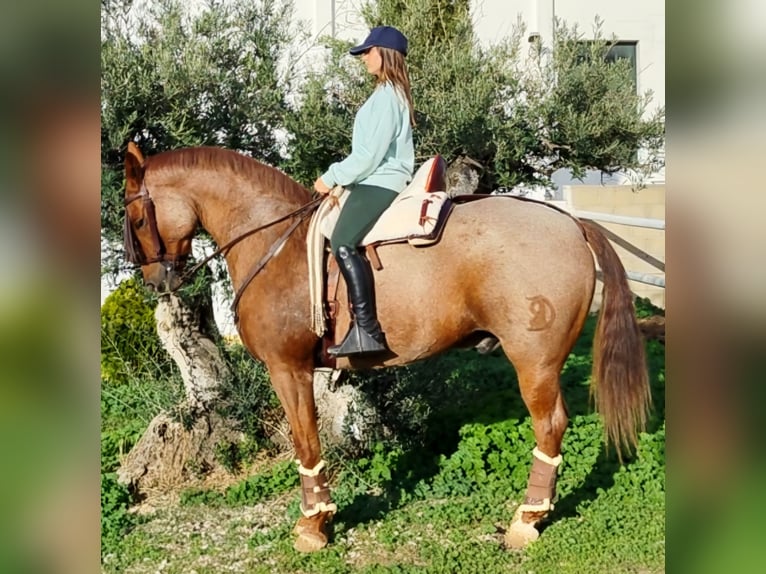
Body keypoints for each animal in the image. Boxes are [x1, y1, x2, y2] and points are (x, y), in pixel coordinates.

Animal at [123, 143, 652, 552]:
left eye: (135, 215)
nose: (153, 281)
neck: (276, 242)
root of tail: (570, 223)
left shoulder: (288, 369)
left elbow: (305, 440)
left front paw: (315, 524)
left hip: (534, 362)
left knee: (550, 426)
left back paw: (527, 518)